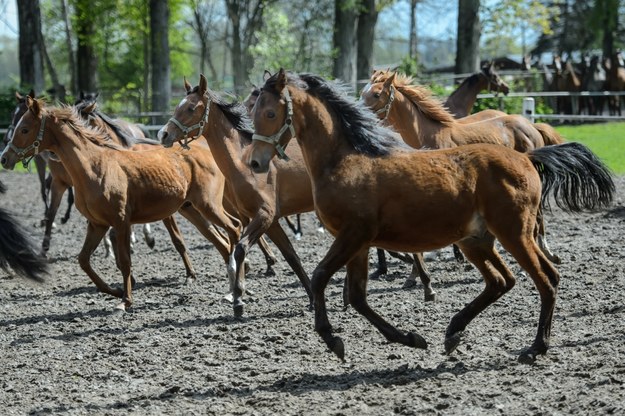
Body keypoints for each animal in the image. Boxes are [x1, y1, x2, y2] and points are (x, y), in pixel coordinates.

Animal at [1, 98, 243, 312]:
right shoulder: (97, 224)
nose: (5, 158)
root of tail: (204, 150)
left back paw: (237, 286)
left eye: (24, 129)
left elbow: (125, 261)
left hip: (209, 205)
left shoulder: (121, 222)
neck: (95, 167)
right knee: (222, 242)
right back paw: (232, 286)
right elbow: (84, 260)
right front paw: (115, 291)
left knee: (235, 228)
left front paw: (125, 301)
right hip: (191, 209)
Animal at [154, 75, 314, 316]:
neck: (243, 162)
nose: (163, 134)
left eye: (190, 107)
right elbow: (292, 257)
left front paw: (238, 298)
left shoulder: (264, 215)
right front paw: (313, 299)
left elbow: (239, 249)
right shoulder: (270, 221)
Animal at [247, 70, 616, 362]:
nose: (254, 161)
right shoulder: (360, 243)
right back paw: (453, 333)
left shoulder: (353, 235)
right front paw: (410, 338)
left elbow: (321, 276)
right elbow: (357, 296)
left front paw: (333, 339)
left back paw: (535, 347)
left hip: (514, 234)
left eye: (269, 112)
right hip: (477, 240)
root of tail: (527, 157)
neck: (345, 158)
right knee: (503, 281)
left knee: (544, 279)